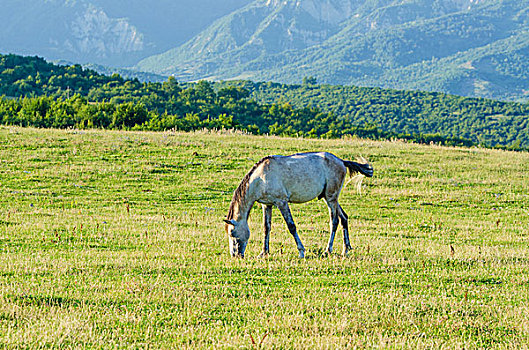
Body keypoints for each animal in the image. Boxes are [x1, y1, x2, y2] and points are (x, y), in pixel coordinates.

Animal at [223, 152, 372, 258]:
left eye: (232, 232)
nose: (235, 255)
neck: (261, 178)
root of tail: (341, 161)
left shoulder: (282, 202)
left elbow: (291, 226)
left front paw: (301, 251)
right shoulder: (267, 205)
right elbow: (266, 228)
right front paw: (264, 252)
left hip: (331, 199)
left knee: (334, 221)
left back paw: (328, 250)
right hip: (330, 198)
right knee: (344, 218)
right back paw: (345, 249)